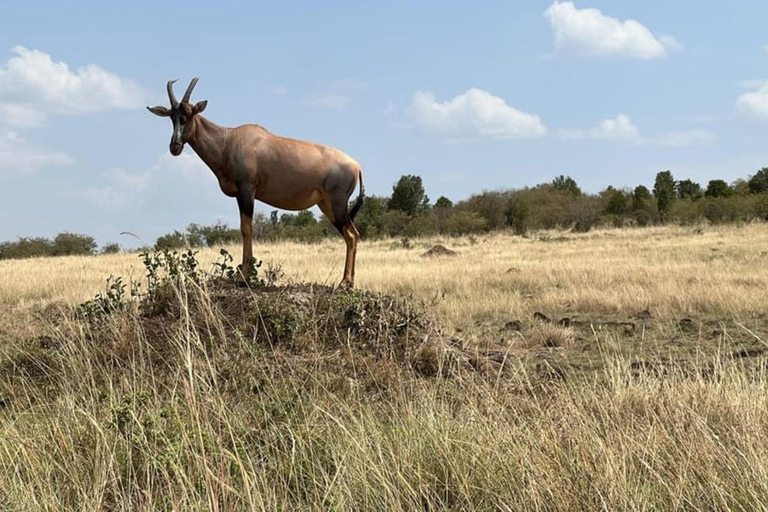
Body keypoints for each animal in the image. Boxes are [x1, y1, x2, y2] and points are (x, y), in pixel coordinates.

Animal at [152, 78, 368, 290]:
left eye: (188, 115)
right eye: (172, 116)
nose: (174, 147)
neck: (230, 140)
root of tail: (356, 166)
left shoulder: (247, 190)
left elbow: (246, 229)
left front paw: (244, 277)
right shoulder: (241, 194)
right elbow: (245, 228)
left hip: (337, 204)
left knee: (351, 235)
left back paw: (344, 283)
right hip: (326, 205)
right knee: (352, 234)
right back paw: (348, 282)